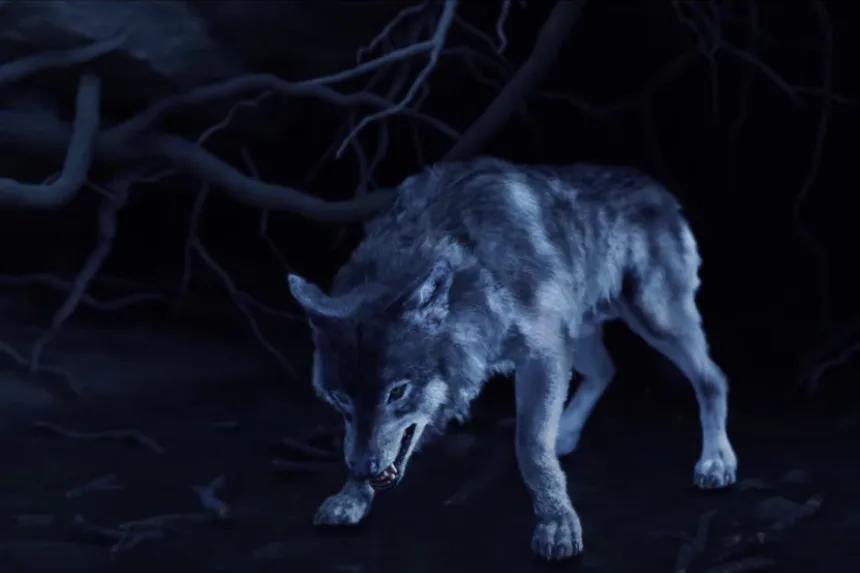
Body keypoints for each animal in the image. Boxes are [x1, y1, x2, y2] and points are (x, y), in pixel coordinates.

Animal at [287, 157, 737, 560]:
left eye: (397, 392)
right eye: (340, 399)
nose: (364, 470)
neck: (471, 266)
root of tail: (659, 189)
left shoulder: (542, 353)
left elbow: (530, 444)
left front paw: (556, 524)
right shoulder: (552, 348)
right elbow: (353, 442)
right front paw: (350, 497)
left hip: (654, 320)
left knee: (713, 378)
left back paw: (715, 461)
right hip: (577, 334)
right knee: (607, 370)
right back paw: (566, 432)